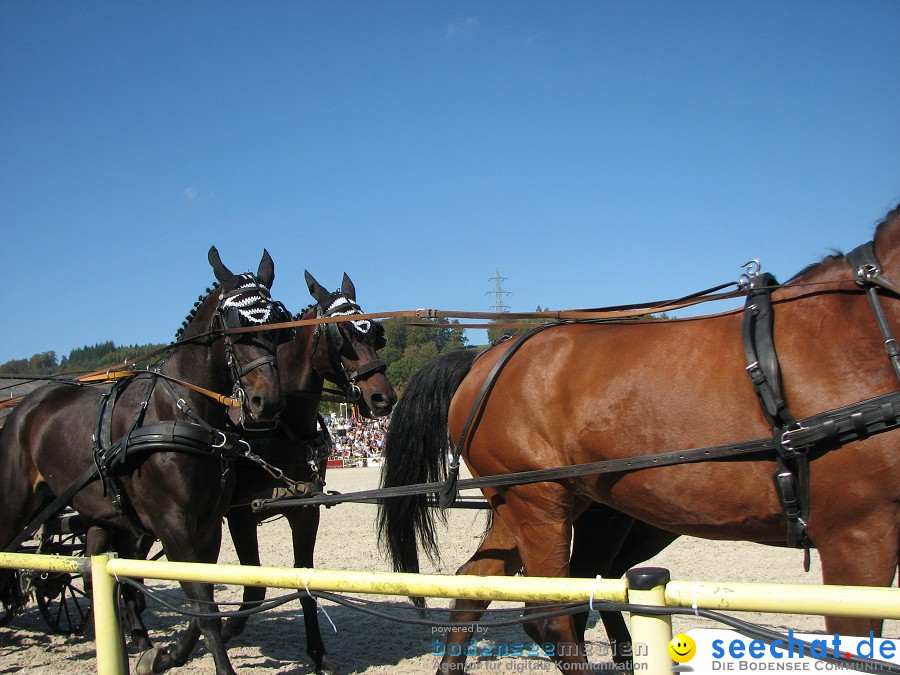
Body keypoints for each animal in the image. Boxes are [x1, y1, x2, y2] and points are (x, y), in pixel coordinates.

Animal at [0, 248, 288, 675]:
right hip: (18, 503)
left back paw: (130, 641)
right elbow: (203, 605)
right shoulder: (173, 524)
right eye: (233, 328)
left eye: (278, 326)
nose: (265, 403)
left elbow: (199, 601)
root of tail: (25, 405)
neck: (179, 412)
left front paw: (166, 655)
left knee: (103, 579)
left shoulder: (207, 525)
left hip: (103, 515)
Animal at [220, 270, 396, 675]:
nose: (384, 398)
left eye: (375, 335)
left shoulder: (304, 510)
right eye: (341, 337)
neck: (279, 429)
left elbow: (305, 583)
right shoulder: (240, 515)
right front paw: (220, 630)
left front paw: (316, 653)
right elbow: (252, 586)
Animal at [378, 206, 900, 675]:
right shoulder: (858, 533)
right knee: (552, 619)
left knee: (479, 589)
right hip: (541, 503)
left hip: (544, 504)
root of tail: (487, 356)